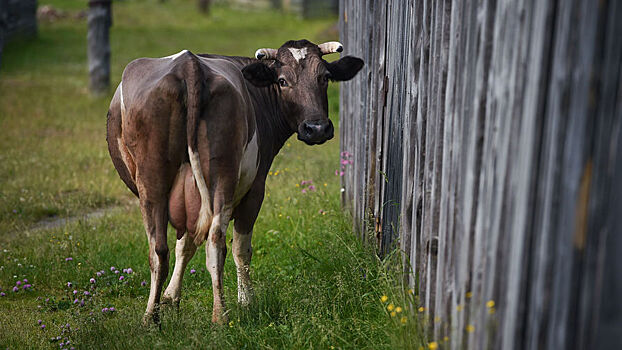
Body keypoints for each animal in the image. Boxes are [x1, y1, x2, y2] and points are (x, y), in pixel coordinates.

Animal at [107, 39, 366, 326]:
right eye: (283, 80)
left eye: (325, 77)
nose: (317, 128)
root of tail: (189, 64)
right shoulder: (256, 188)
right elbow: (240, 249)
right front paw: (246, 302)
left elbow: (184, 246)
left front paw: (170, 298)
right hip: (221, 176)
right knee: (215, 242)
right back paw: (220, 314)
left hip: (153, 182)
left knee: (160, 250)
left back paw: (151, 319)